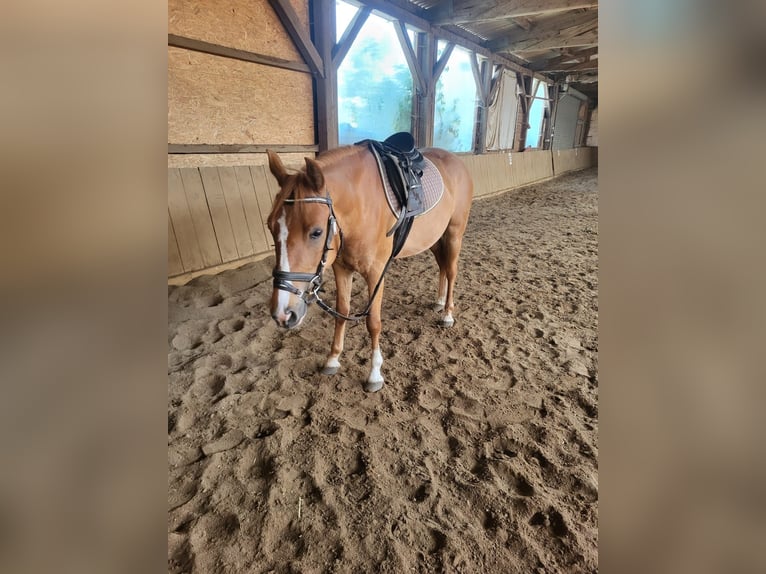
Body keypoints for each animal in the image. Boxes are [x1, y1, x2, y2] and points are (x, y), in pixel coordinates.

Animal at [266, 142, 473, 392]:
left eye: (316, 232)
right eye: (270, 227)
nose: (283, 314)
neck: (360, 204)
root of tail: (457, 161)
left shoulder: (376, 273)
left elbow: (373, 322)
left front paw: (375, 374)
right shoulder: (342, 269)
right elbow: (342, 311)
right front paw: (333, 359)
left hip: (454, 234)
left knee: (451, 271)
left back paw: (447, 314)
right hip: (434, 238)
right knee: (442, 266)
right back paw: (440, 301)